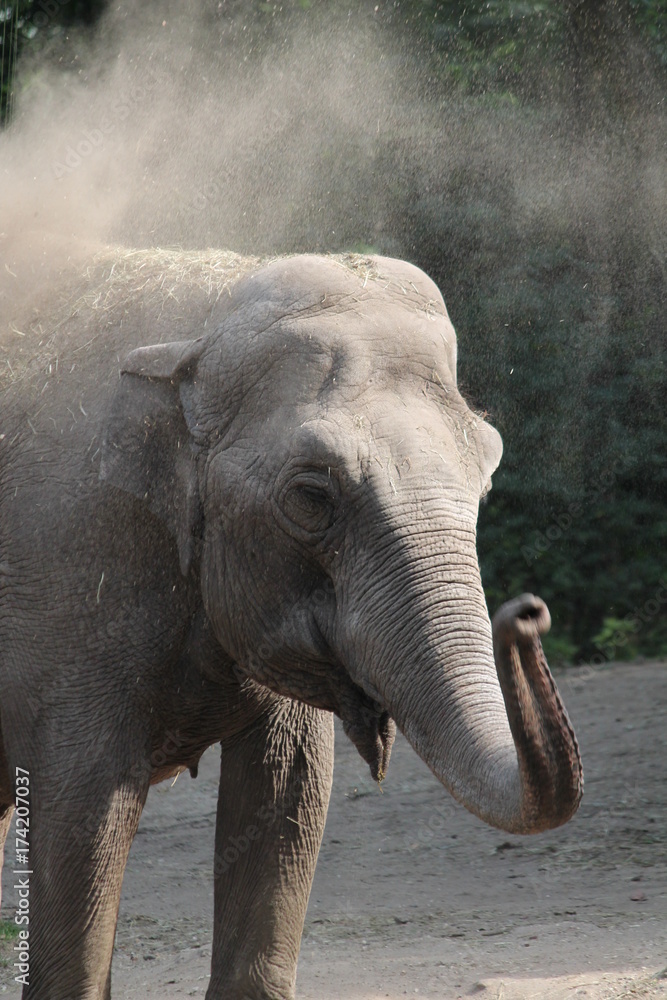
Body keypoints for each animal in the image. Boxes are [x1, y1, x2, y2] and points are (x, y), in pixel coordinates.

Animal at [0, 244, 582, 999]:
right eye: (311, 496)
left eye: (485, 470)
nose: (527, 613)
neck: (202, 324)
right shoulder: (69, 585)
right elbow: (82, 806)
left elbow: (289, 791)